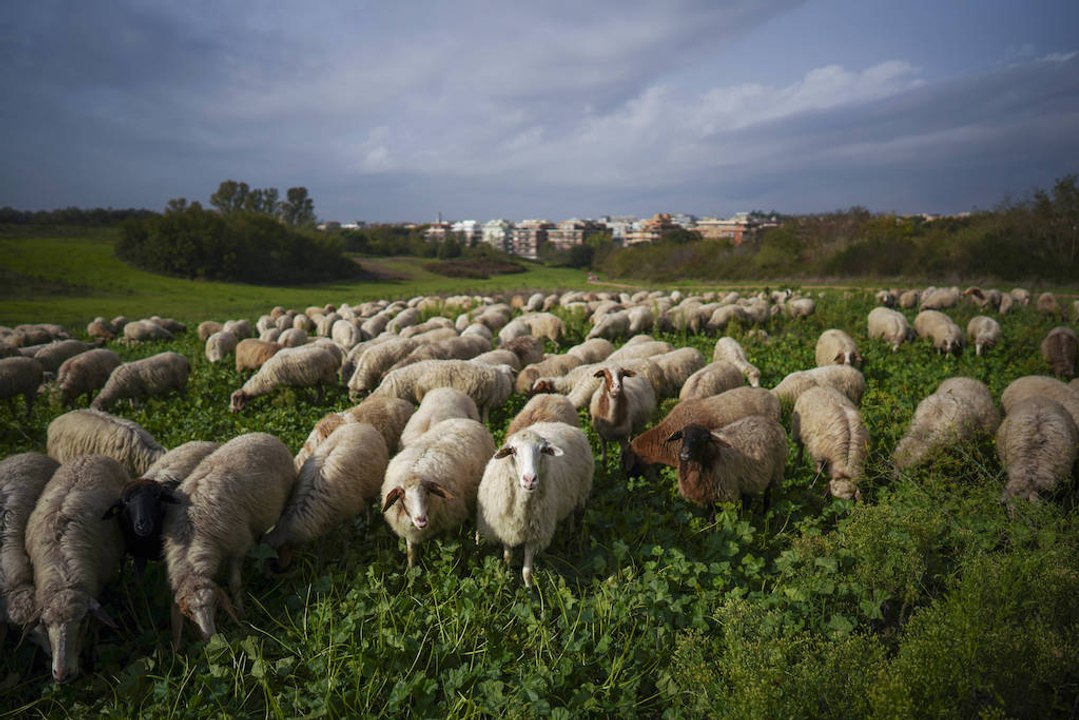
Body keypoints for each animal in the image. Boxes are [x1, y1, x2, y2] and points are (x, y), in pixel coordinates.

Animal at [164, 433, 295, 644]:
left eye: (215, 604)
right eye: (188, 613)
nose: (210, 637)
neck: (192, 537)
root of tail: (262, 434)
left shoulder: (237, 547)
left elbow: (235, 584)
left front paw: (240, 612)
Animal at [265, 423, 389, 569]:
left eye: (273, 558)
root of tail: (362, 425)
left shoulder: (348, 511)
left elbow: (345, 535)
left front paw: (345, 558)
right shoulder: (322, 518)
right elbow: (321, 540)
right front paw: (319, 562)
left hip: (372, 485)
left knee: (369, 506)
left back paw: (369, 529)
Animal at [380, 418, 495, 567]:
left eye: (427, 493)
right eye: (402, 495)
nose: (421, 520)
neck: (414, 472)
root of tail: (466, 420)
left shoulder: (448, 520)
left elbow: (448, 547)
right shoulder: (409, 529)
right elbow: (411, 553)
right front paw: (410, 570)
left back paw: (477, 545)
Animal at [476, 422, 593, 587]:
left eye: (543, 450)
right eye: (513, 451)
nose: (530, 479)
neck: (521, 507)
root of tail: (565, 425)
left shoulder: (535, 534)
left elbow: (527, 571)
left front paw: (529, 589)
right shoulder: (505, 528)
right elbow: (507, 557)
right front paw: (508, 574)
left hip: (578, 491)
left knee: (571, 513)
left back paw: (570, 533)